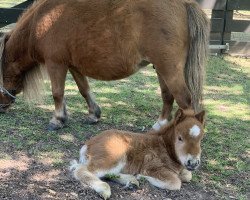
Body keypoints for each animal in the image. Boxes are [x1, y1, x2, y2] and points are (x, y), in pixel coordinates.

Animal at [0, 0, 209, 130]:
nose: (2, 106)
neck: (41, 22)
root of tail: (184, 4)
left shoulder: (56, 64)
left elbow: (57, 93)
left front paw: (57, 120)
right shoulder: (73, 66)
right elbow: (84, 90)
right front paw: (94, 114)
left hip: (169, 69)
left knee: (185, 99)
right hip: (161, 69)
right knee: (168, 96)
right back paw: (161, 125)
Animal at [70, 108, 205, 199]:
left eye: (201, 139)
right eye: (180, 138)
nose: (193, 163)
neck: (165, 147)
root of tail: (88, 144)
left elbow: (187, 176)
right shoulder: (154, 168)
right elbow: (176, 183)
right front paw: (142, 176)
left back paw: (132, 182)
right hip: (114, 156)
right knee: (81, 170)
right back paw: (105, 189)